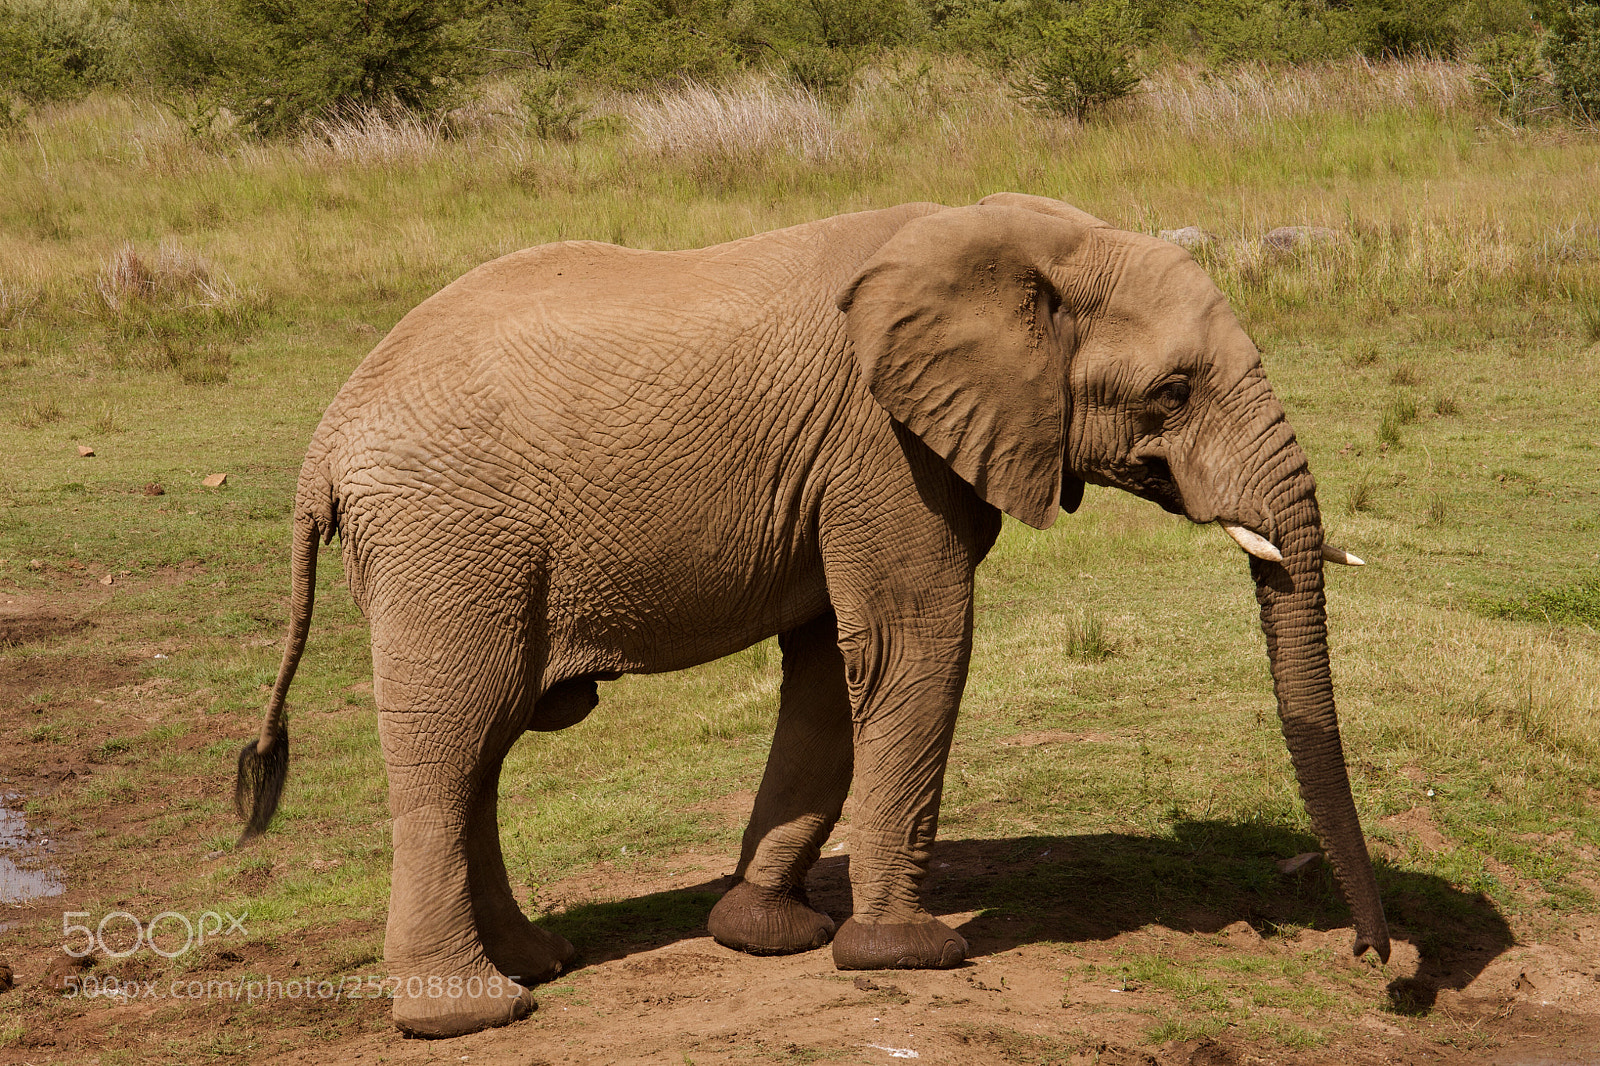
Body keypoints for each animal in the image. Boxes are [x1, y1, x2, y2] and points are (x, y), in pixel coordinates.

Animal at [234, 193, 1388, 1038]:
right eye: (1174, 393)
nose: (1371, 958)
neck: (1028, 235)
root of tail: (321, 447)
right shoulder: (884, 446)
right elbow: (915, 645)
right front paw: (908, 953)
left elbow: (832, 668)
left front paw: (765, 931)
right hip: (448, 541)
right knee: (450, 739)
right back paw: (471, 1013)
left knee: (484, 744)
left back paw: (538, 964)